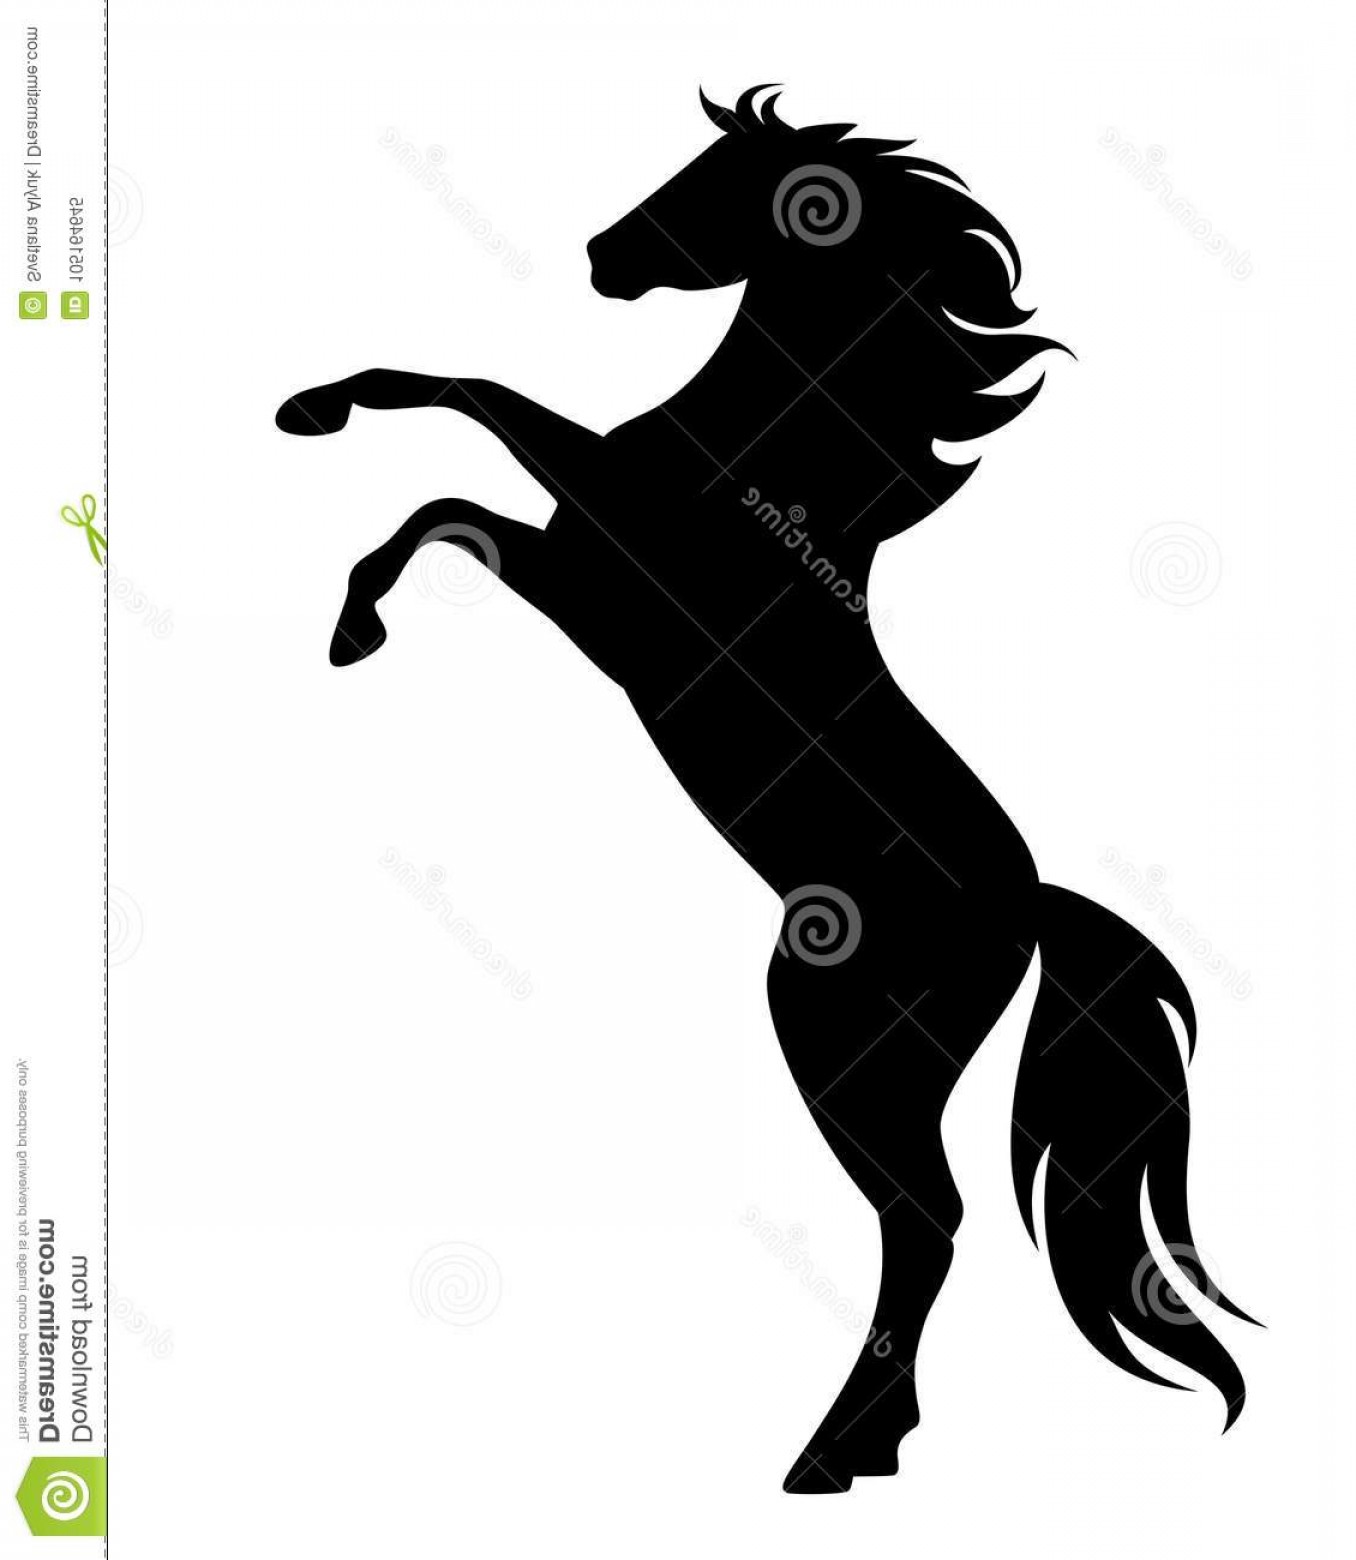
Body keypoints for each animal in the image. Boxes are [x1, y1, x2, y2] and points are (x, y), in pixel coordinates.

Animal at [277, 84, 1254, 1494]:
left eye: (723, 182)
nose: (602, 256)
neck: (768, 466)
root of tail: (1026, 912)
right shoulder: (565, 578)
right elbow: (456, 495)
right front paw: (341, 544)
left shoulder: (601, 572)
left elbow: (476, 417)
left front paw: (336, 543)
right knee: (930, 1224)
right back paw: (866, 1443)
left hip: (838, 1044)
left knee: (927, 1219)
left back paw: (833, 1453)